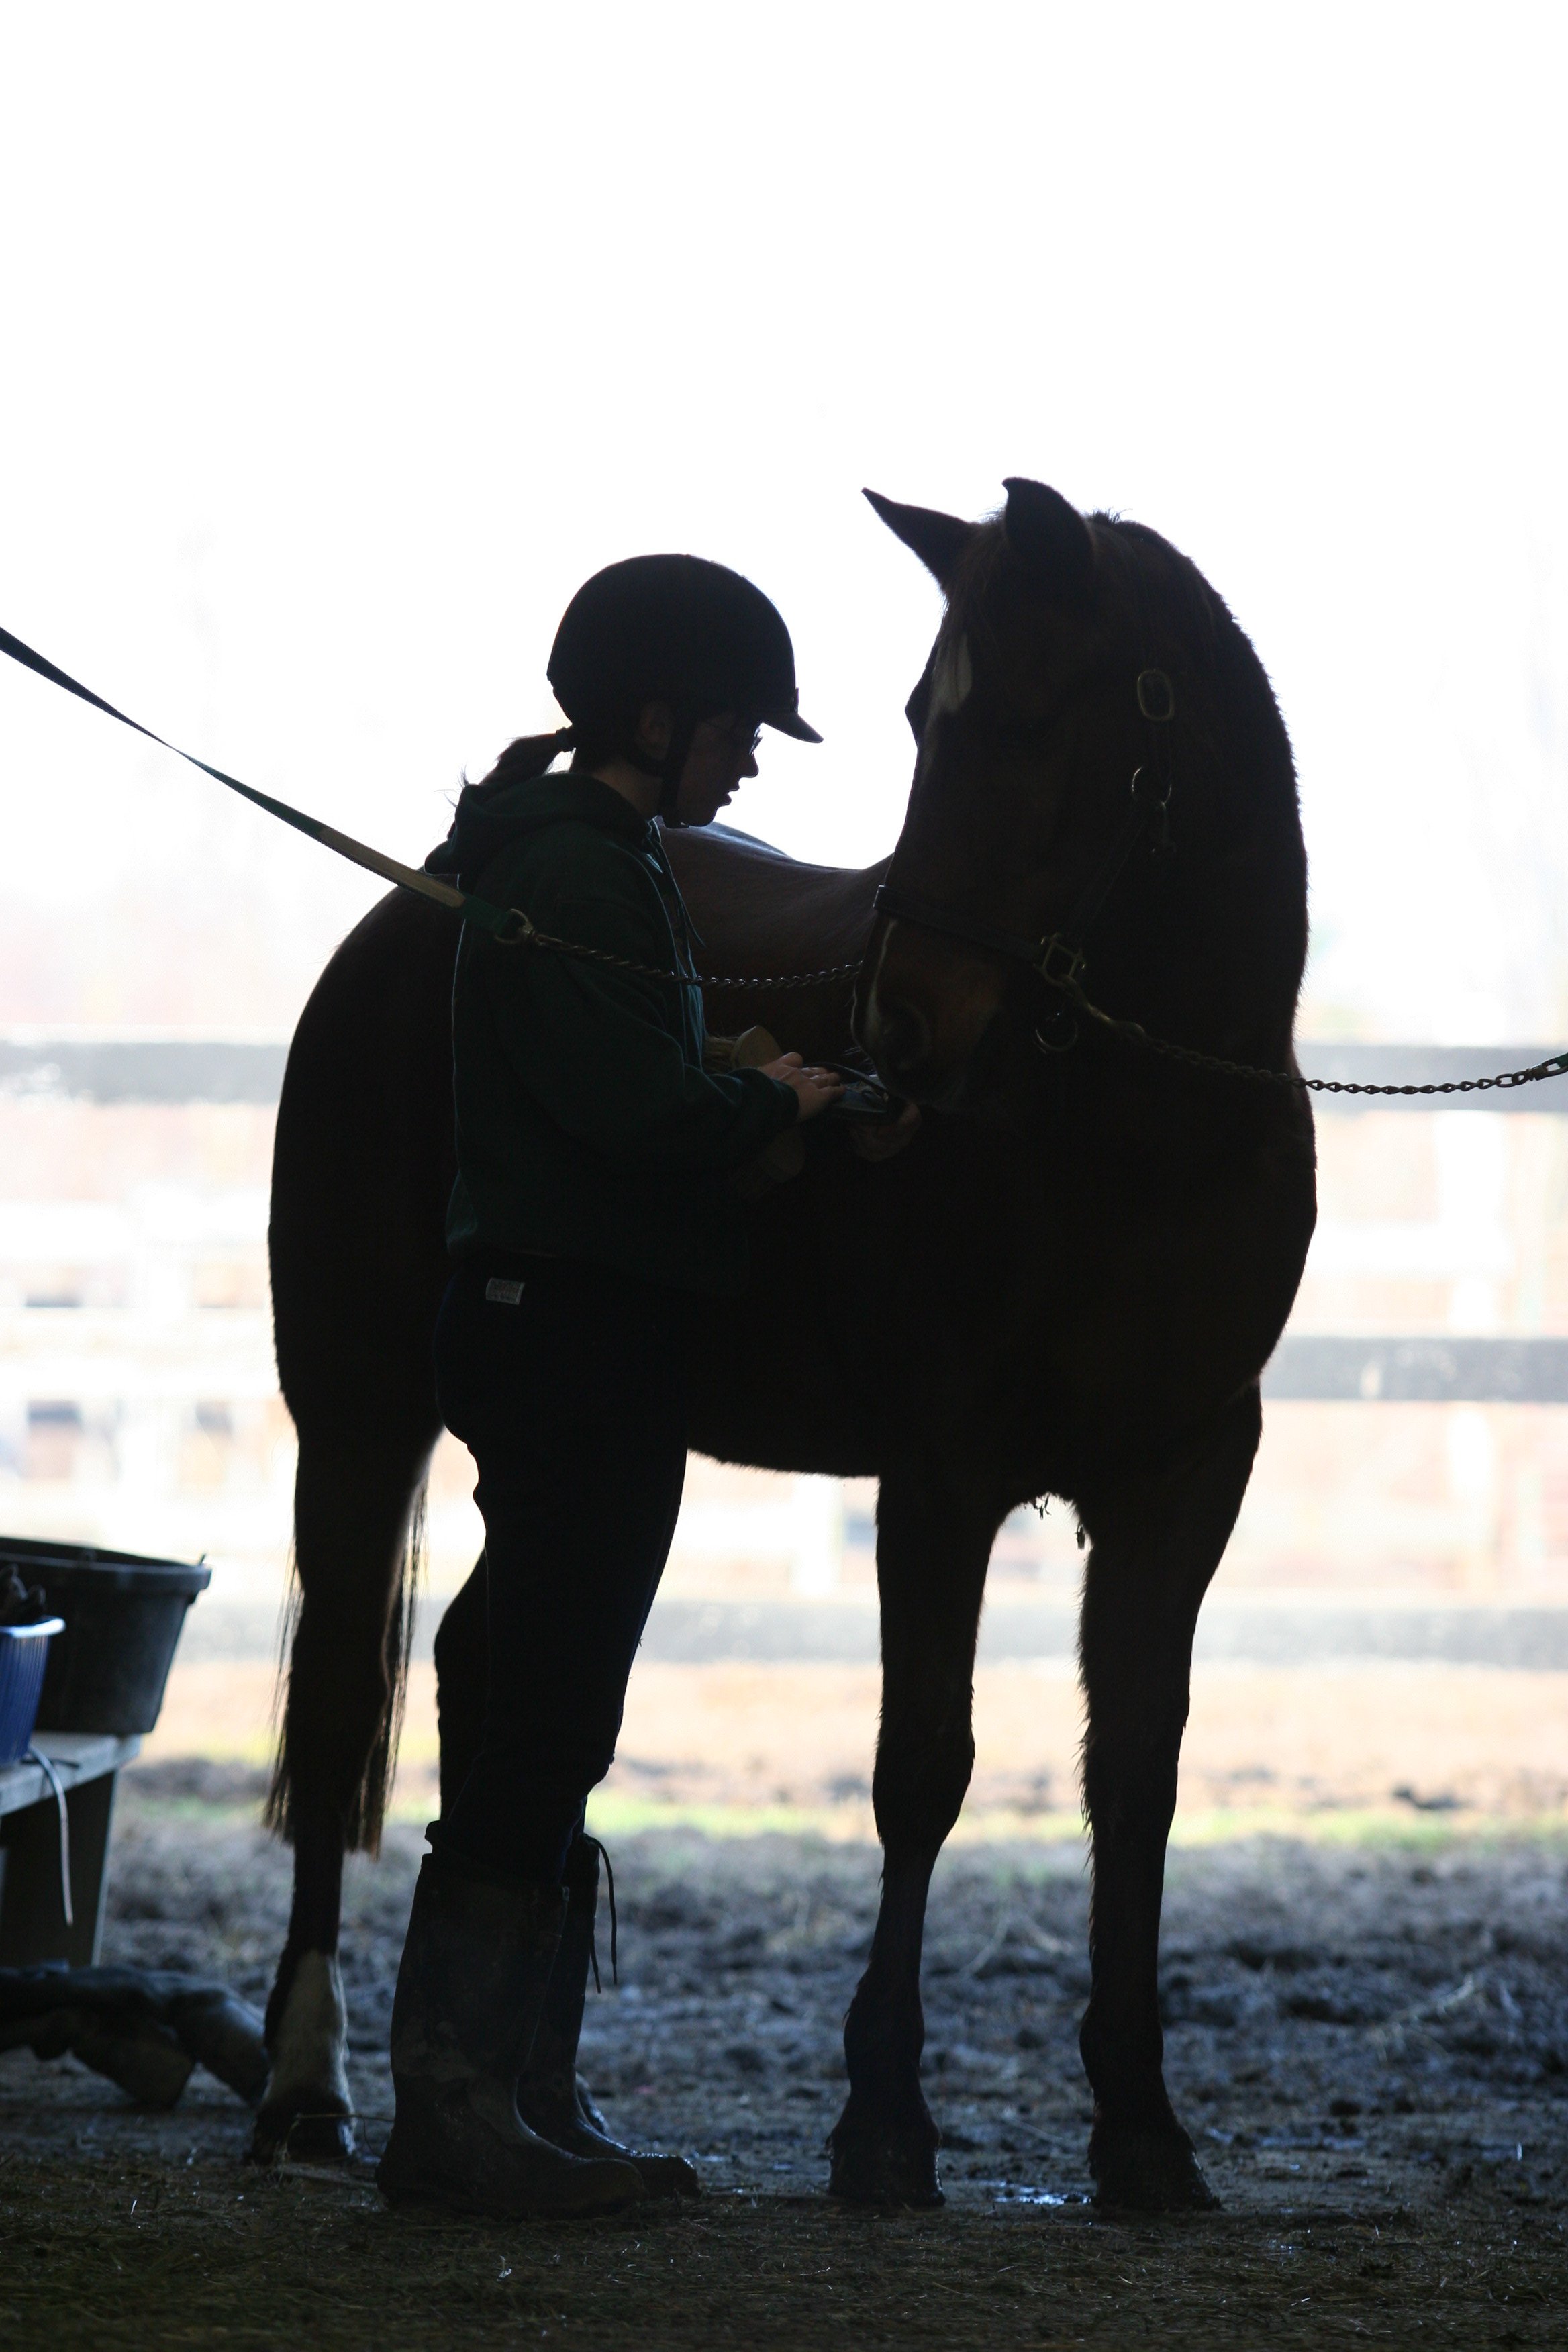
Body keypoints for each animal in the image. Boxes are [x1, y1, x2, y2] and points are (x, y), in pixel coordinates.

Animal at [256, 478, 1315, 2210]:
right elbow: (921, 1767)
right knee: (351, 1703)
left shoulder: (1181, 1479)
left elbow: (1137, 1780)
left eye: (1029, 718)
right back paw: (302, 2086)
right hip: (356, 1416)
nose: (898, 1031)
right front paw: (882, 2121)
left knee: (512, 1679)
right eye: (922, 718)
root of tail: (424, 905)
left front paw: (1144, 2130)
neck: (1136, 1124)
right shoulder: (940, 1474)